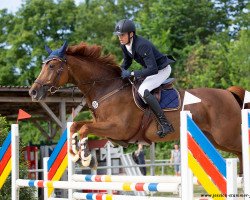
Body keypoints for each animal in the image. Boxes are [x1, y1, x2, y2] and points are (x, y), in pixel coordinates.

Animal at [29, 42, 246, 173]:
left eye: (51, 66)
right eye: (43, 65)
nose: (33, 92)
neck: (107, 88)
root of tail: (228, 93)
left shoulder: (118, 128)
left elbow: (84, 128)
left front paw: (86, 159)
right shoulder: (106, 127)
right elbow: (76, 125)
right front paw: (76, 155)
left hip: (225, 136)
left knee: (242, 149)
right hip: (217, 139)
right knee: (239, 153)